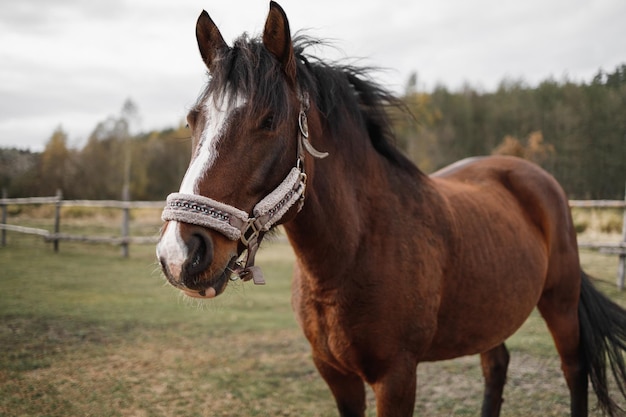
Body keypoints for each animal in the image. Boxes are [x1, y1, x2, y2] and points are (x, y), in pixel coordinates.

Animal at [156, 1, 624, 414]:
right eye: (193, 120)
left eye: (269, 120)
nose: (179, 254)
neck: (351, 255)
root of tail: (537, 178)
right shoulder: (335, 375)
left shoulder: (397, 377)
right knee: (496, 367)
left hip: (560, 303)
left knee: (574, 370)